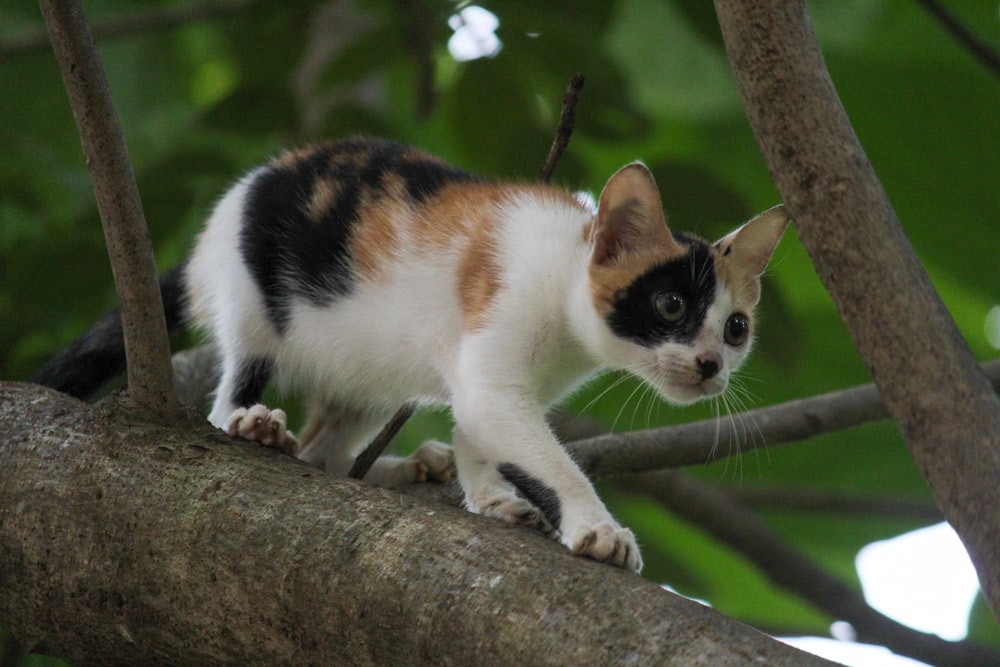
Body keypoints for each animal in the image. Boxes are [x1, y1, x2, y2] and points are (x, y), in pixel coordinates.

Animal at [35, 137, 788, 576]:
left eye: (736, 327)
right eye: (671, 306)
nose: (710, 365)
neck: (566, 274)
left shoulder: (504, 381)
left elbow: (479, 429)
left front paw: (489, 496)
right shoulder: (500, 341)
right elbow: (526, 442)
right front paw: (597, 527)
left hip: (363, 371)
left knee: (325, 451)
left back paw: (403, 467)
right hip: (249, 294)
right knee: (235, 386)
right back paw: (251, 423)